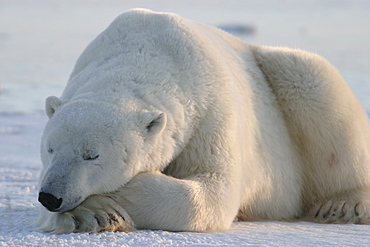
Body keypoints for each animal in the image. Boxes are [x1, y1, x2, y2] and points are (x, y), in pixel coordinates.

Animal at [36, 8, 370, 233]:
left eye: (92, 155)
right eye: (50, 149)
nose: (50, 196)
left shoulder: (211, 110)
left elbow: (214, 190)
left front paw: (120, 197)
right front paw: (95, 214)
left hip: (291, 77)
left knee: (315, 87)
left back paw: (343, 205)